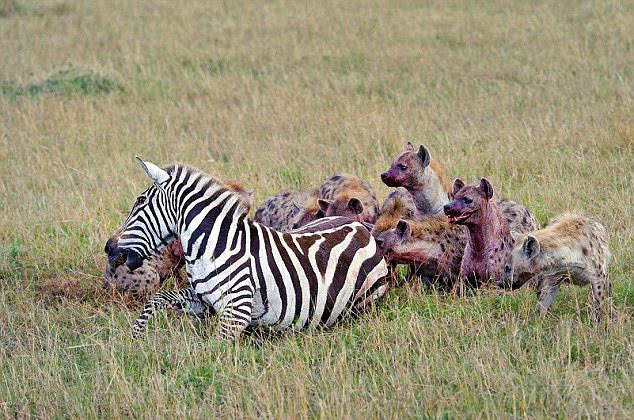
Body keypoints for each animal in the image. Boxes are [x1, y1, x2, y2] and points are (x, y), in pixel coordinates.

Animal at [106, 158, 388, 342]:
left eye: (140, 201)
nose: (110, 249)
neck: (214, 247)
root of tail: (361, 227)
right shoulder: (203, 300)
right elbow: (158, 297)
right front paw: (135, 337)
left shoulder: (237, 311)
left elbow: (212, 348)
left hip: (363, 301)